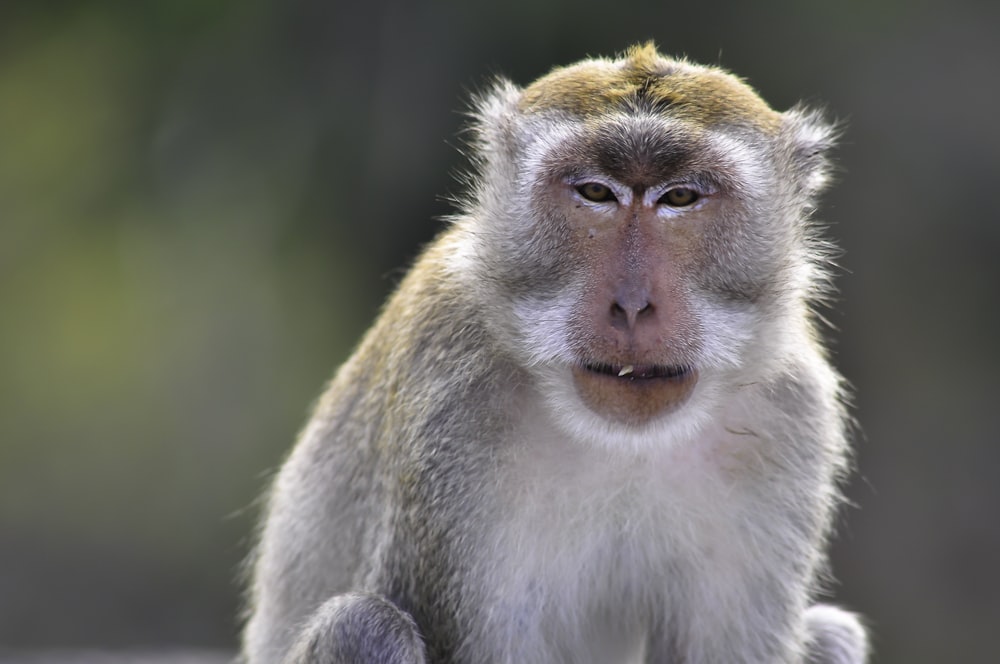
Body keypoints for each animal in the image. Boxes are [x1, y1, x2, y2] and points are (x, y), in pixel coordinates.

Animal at [240, 44, 868, 660]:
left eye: (680, 197)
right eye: (595, 193)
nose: (632, 305)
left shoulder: (791, 414)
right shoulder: (451, 407)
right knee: (366, 625)